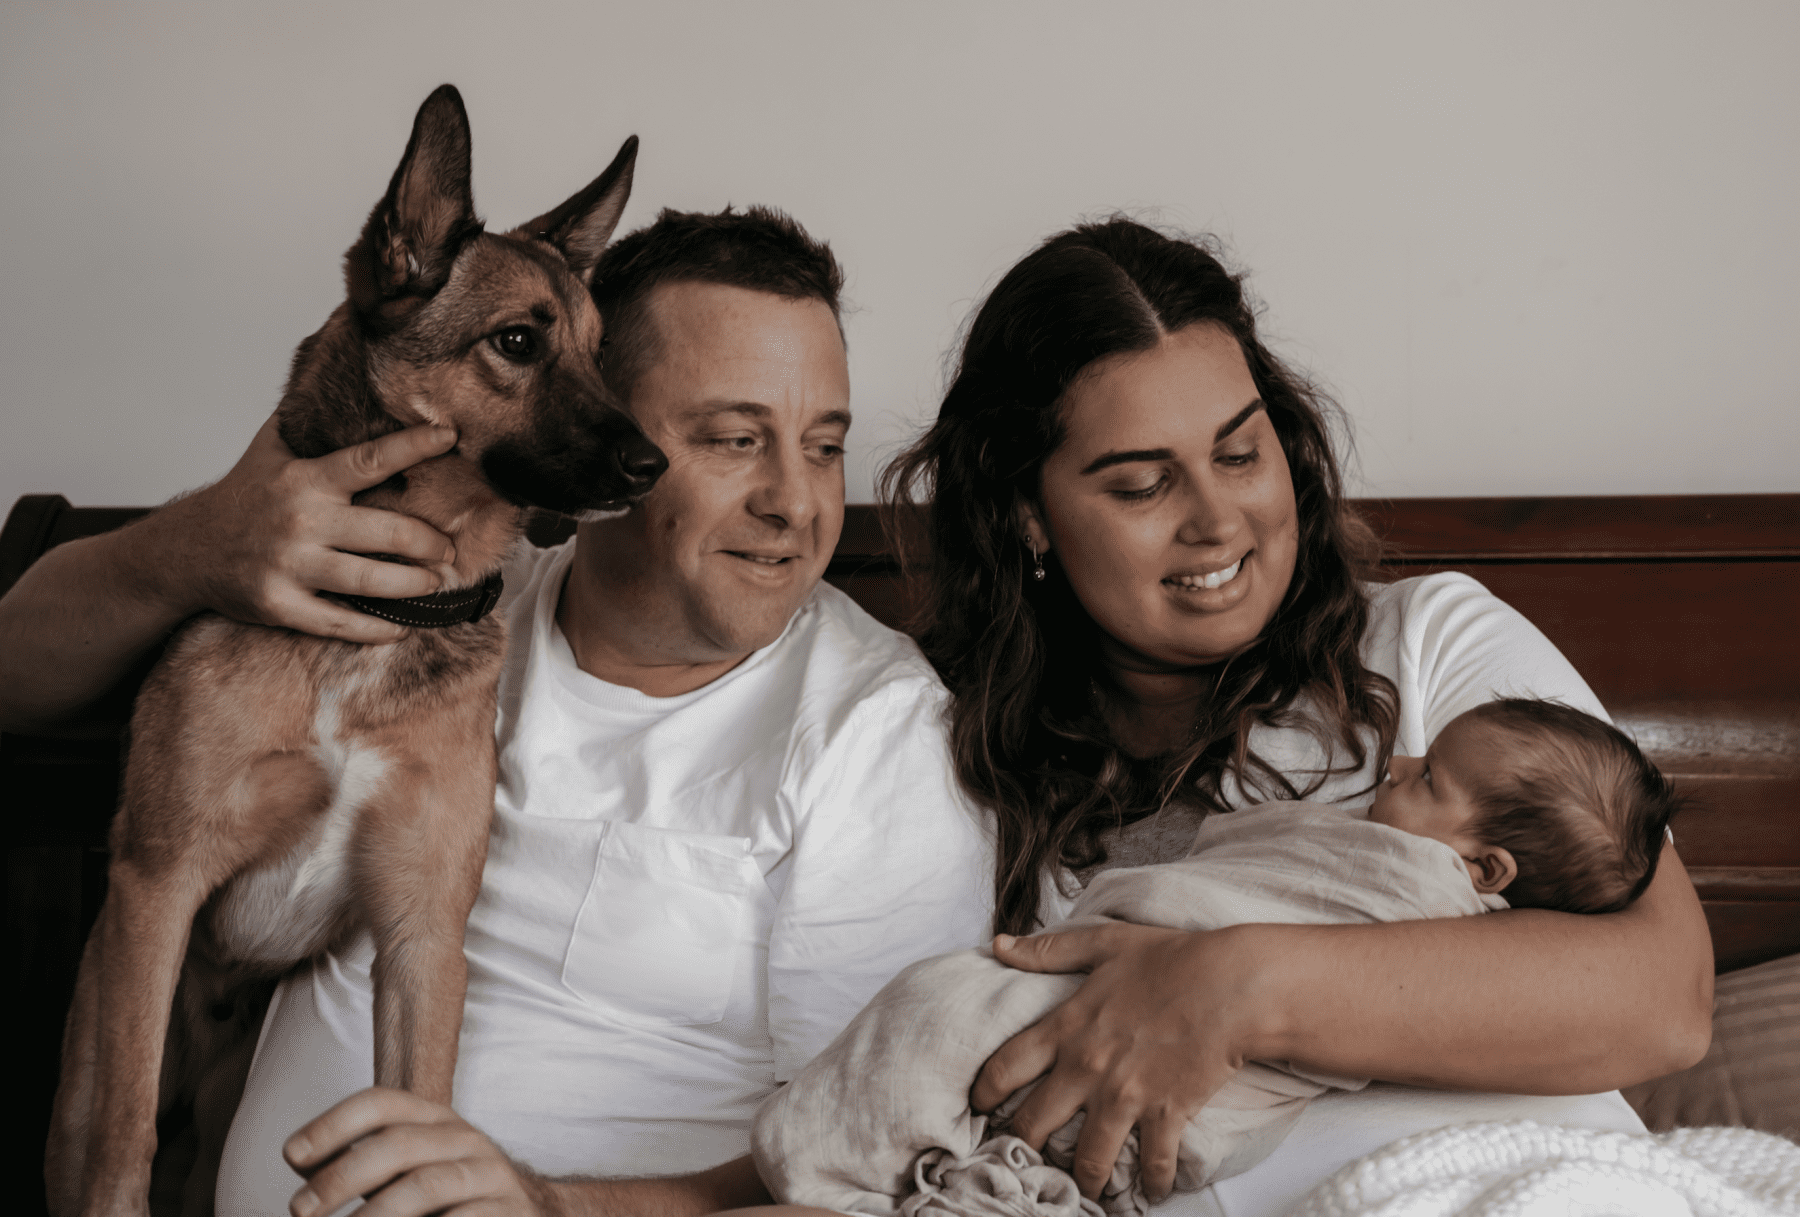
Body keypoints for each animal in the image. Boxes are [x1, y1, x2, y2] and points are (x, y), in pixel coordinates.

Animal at [45, 84, 665, 1217]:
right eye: (518, 340)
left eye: (605, 352)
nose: (656, 465)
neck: (385, 614)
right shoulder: (158, 885)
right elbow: (124, 1145)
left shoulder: (423, 937)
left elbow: (417, 1109)